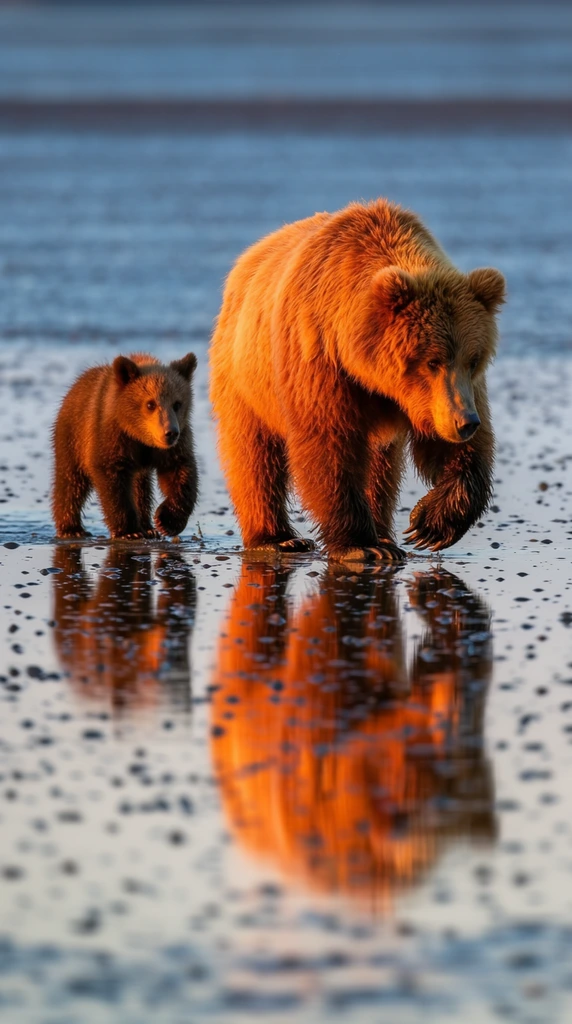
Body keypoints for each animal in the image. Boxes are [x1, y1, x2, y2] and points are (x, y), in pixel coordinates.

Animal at [52, 351, 198, 540]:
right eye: (150, 404)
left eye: (177, 404)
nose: (170, 432)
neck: (139, 436)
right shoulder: (111, 436)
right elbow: (112, 480)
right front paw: (129, 531)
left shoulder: (174, 446)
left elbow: (180, 472)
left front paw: (166, 521)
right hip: (73, 436)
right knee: (71, 481)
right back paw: (71, 529)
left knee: (140, 488)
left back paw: (147, 527)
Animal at [209, 199, 505, 561]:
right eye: (432, 361)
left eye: (473, 359)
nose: (465, 422)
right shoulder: (319, 356)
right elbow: (329, 441)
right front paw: (360, 546)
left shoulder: (445, 395)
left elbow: (456, 449)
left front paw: (430, 524)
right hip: (245, 377)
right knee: (253, 454)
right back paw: (276, 538)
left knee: (380, 469)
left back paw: (385, 535)